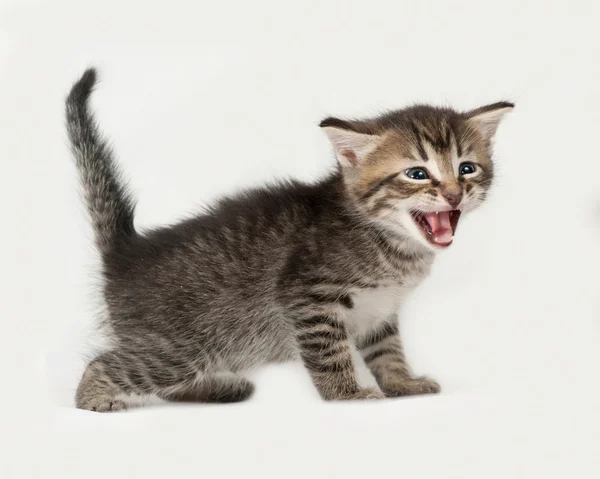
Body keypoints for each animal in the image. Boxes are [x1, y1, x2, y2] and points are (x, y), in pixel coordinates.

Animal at [68, 67, 512, 412]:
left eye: (467, 168)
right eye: (417, 174)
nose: (454, 194)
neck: (388, 241)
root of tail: (126, 253)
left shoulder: (379, 309)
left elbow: (388, 350)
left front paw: (402, 383)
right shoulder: (307, 295)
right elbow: (331, 353)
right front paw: (346, 394)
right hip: (179, 348)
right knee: (108, 364)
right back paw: (93, 397)